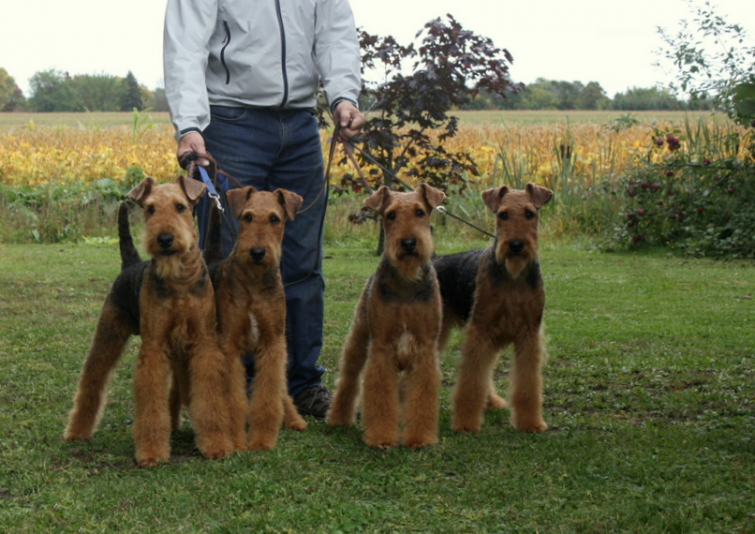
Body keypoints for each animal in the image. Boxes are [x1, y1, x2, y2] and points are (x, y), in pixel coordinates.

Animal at [63, 177, 232, 468]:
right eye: (151, 209)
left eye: (180, 206)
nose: (164, 239)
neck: (179, 282)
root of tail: (129, 264)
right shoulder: (153, 348)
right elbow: (151, 403)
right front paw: (152, 452)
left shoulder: (204, 345)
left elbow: (209, 397)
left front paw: (216, 444)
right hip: (108, 335)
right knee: (92, 380)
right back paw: (77, 431)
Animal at [204, 186, 310, 454]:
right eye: (248, 217)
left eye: (275, 219)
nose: (257, 253)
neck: (253, 281)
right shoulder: (229, 346)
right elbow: (233, 399)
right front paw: (236, 440)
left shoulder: (273, 343)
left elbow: (269, 396)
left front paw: (262, 440)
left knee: (281, 388)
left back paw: (295, 419)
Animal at [328, 183, 446, 448]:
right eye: (391, 215)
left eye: (420, 212)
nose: (409, 243)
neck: (406, 282)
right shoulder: (381, 346)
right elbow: (380, 396)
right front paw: (381, 436)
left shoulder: (424, 347)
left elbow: (421, 396)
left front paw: (420, 437)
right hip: (359, 339)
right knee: (349, 380)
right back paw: (338, 418)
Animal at [434, 184, 552, 436]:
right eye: (503, 214)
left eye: (530, 213)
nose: (516, 245)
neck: (513, 277)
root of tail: (436, 259)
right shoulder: (479, 330)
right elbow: (470, 381)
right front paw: (466, 423)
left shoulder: (529, 334)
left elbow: (527, 384)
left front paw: (531, 423)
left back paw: (491, 401)